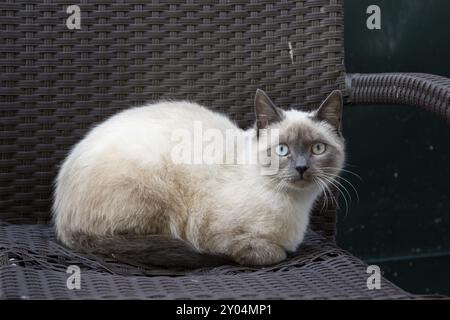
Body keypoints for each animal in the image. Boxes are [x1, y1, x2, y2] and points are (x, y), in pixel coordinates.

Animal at [53, 89, 348, 268]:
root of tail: (60, 220)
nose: (301, 168)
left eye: (317, 149)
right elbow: (271, 253)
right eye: (283, 150)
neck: (295, 205)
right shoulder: (213, 235)